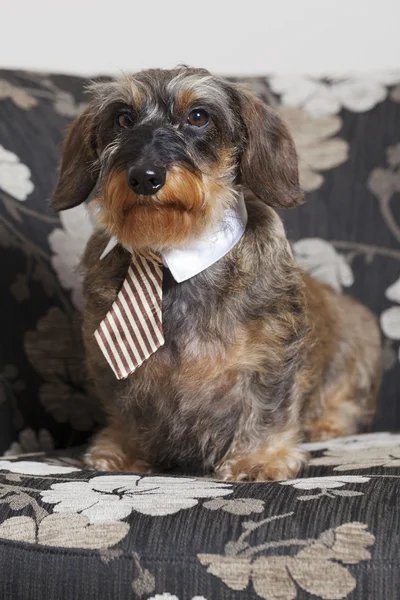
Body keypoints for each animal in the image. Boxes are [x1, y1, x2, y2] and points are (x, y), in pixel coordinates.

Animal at [50, 68, 382, 482]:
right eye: (123, 118)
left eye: (198, 116)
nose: (144, 177)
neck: (171, 255)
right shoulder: (111, 367)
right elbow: (125, 411)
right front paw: (124, 452)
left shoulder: (270, 357)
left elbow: (267, 407)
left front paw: (259, 458)